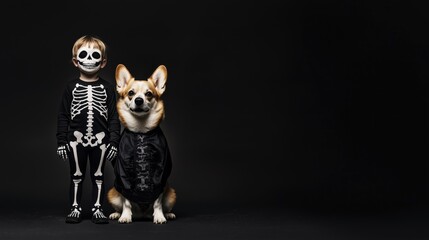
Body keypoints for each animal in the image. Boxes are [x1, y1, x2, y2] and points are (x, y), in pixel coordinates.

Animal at [108, 64, 176, 225]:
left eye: (149, 94)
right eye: (131, 93)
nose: (139, 100)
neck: (141, 131)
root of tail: (142, 215)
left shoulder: (160, 174)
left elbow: (157, 201)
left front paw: (159, 216)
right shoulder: (123, 175)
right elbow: (126, 201)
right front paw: (125, 216)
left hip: (171, 194)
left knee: (163, 204)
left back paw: (167, 214)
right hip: (112, 193)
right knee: (121, 203)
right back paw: (117, 214)